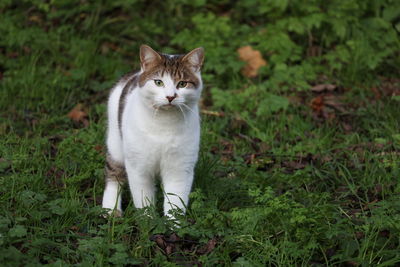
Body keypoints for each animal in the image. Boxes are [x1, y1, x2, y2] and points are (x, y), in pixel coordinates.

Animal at [101, 44, 205, 220]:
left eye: (182, 84)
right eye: (158, 82)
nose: (170, 97)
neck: (164, 123)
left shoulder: (180, 168)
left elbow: (175, 203)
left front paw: (173, 226)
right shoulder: (138, 167)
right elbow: (144, 201)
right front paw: (148, 222)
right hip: (116, 144)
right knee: (113, 174)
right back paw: (110, 209)